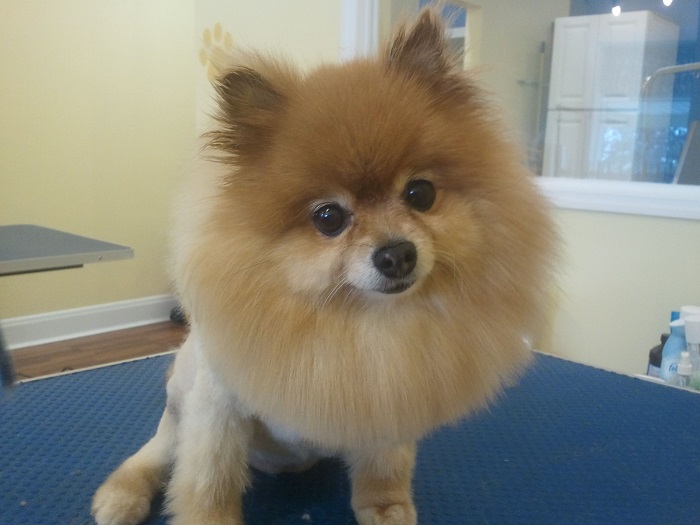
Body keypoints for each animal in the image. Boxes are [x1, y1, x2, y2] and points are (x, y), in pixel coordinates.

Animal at [93, 9, 556, 524]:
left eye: (421, 194)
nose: (397, 254)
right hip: (181, 400)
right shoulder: (218, 408)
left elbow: (385, 466)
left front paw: (386, 507)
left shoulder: (391, 394)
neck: (351, 320)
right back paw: (123, 494)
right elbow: (209, 479)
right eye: (329, 218)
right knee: (159, 452)